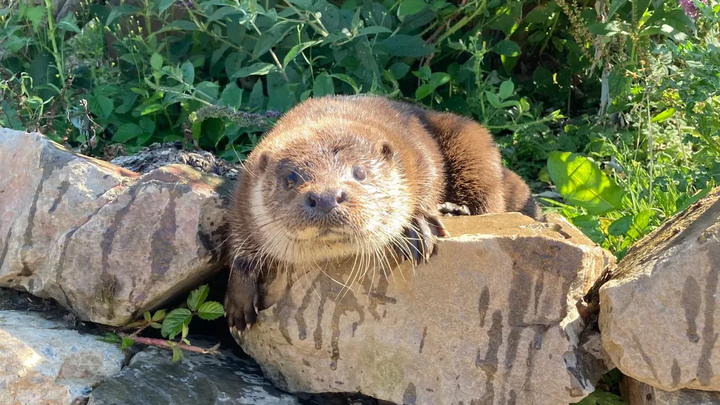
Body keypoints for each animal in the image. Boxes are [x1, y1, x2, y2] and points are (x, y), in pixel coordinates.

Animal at [224, 94, 541, 334]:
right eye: (291, 178)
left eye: (360, 173)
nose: (326, 197)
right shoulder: (243, 193)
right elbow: (237, 239)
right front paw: (239, 297)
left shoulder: (416, 153)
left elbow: (428, 180)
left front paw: (417, 224)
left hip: (473, 143)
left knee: (490, 195)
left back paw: (455, 210)